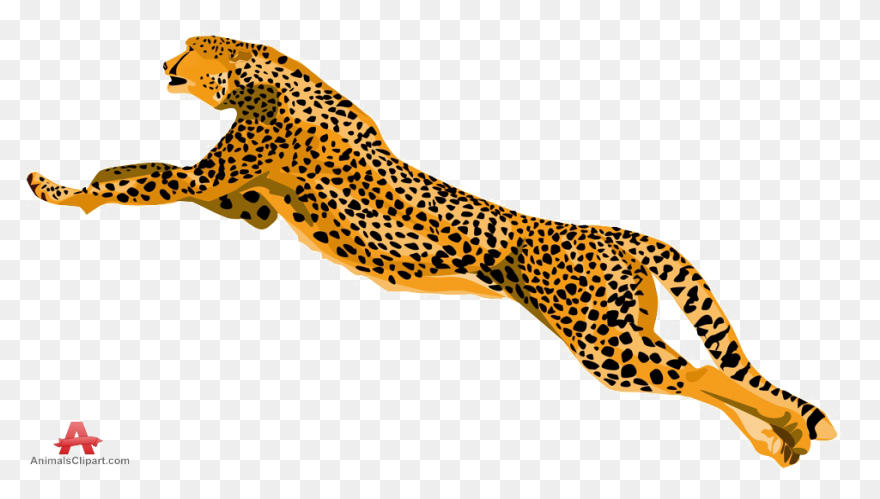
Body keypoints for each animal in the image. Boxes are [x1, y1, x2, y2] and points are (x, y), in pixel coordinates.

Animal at [26, 36, 837, 467]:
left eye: (188, 54)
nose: (164, 64)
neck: (259, 70)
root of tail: (614, 232)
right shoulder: (248, 203)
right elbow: (140, 170)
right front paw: (101, 174)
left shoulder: (218, 180)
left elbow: (149, 180)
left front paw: (57, 187)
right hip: (622, 331)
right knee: (702, 375)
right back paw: (783, 440)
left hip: (603, 342)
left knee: (703, 372)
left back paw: (790, 431)